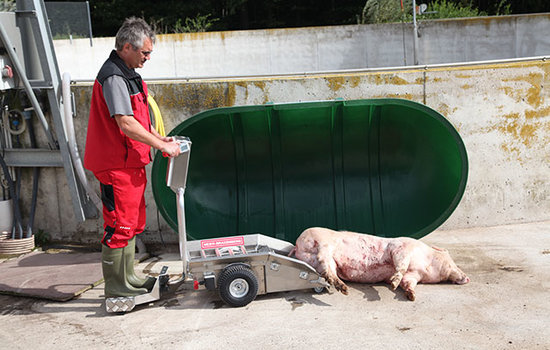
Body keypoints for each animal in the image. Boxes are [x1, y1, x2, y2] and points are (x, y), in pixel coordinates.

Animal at [292, 227, 472, 300]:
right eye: (454, 263)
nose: (468, 278)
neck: (426, 264)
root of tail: (297, 246)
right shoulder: (401, 248)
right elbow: (401, 265)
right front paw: (393, 284)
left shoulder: (413, 276)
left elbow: (408, 284)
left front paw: (411, 296)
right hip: (323, 242)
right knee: (323, 257)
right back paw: (344, 289)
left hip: (328, 262)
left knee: (327, 271)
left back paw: (343, 289)